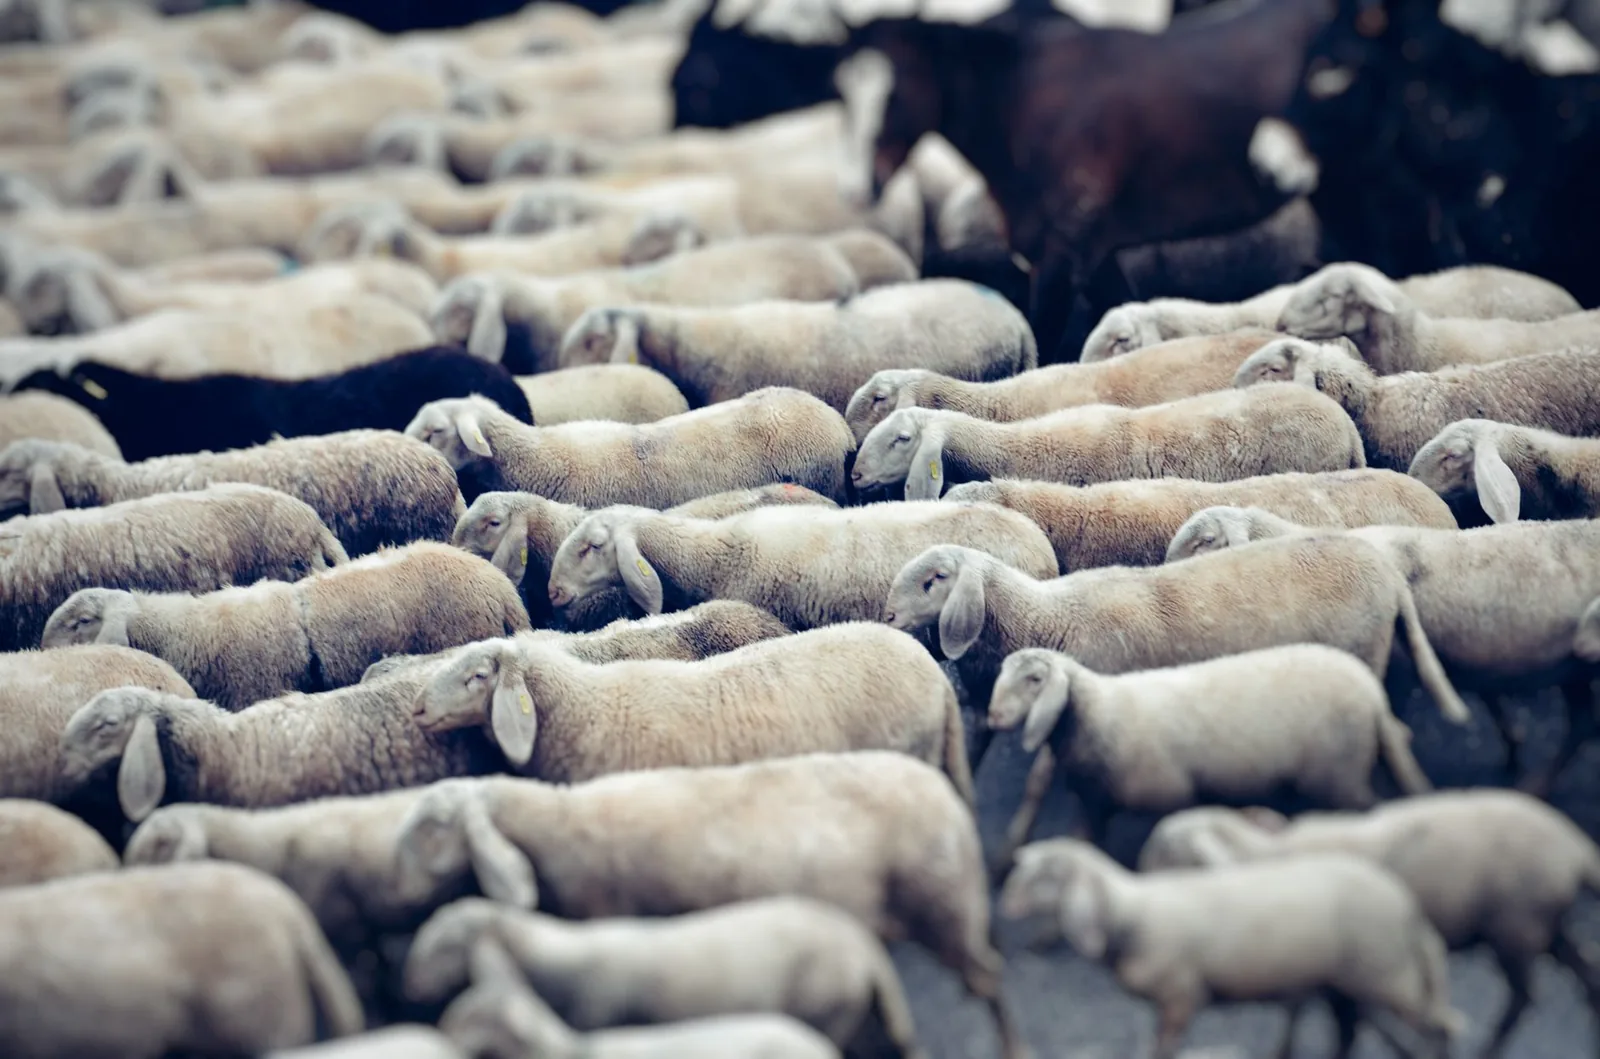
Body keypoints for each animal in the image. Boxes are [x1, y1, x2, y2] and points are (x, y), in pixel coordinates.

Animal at [986, 645, 1432, 862]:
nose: (992, 716)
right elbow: (1081, 841)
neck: (1098, 713)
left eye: (1035, 679)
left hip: (1337, 773)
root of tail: (1373, 696)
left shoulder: (1170, 793)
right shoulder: (1094, 802)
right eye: (1001, 674)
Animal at [998, 839, 1462, 1059]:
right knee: (1350, 1033)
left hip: (1385, 972)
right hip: (1346, 982)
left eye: (1044, 878)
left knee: (1439, 1025)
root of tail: (1407, 905)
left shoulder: (1181, 995)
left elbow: (1163, 1050)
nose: (1007, 902)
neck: (1129, 912)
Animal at [1138, 792, 1600, 1052]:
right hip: (1543, 924)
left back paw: (1488, 1046)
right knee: (1582, 968)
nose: (1137, 876)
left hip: (1515, 927)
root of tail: (1573, 845)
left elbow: (1316, 1008)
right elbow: (1305, 1007)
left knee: (1523, 997)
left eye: (1164, 846)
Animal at [1159, 511, 1600, 793]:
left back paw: (1534, 786)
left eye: (1203, 542)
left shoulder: (1398, 666)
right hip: (1572, 667)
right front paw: (1512, 741)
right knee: (1581, 724)